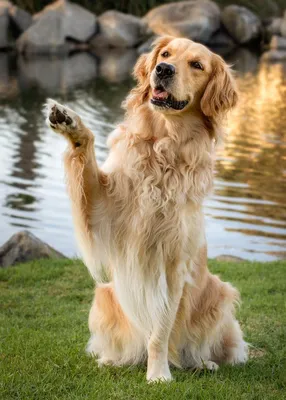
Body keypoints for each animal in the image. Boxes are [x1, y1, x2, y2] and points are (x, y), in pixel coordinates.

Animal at [45, 36, 248, 382]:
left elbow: (160, 332)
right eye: (165, 54)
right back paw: (114, 359)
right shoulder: (102, 211)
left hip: (219, 293)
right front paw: (72, 124)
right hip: (104, 296)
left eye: (197, 65)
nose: (163, 69)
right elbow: (86, 162)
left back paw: (201, 362)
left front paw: (158, 375)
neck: (164, 143)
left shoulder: (173, 264)